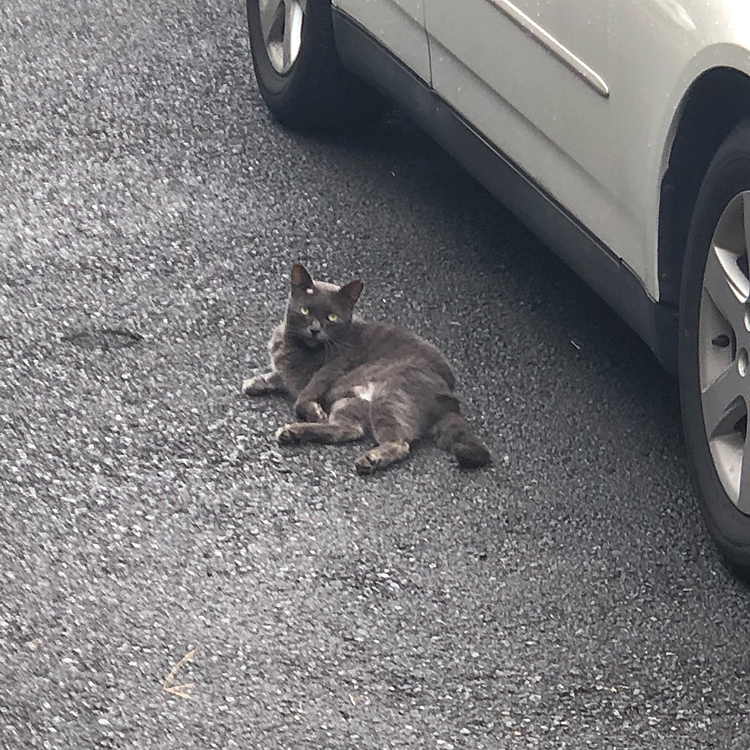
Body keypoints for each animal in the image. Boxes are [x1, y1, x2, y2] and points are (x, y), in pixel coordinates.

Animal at [244, 266, 496, 476]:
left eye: (331, 317)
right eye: (305, 311)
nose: (315, 329)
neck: (297, 347)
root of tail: (449, 397)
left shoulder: (335, 366)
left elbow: (305, 394)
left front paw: (314, 411)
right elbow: (277, 376)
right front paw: (254, 382)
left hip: (388, 395)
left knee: (398, 443)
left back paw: (369, 459)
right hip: (350, 401)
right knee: (349, 430)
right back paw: (294, 433)